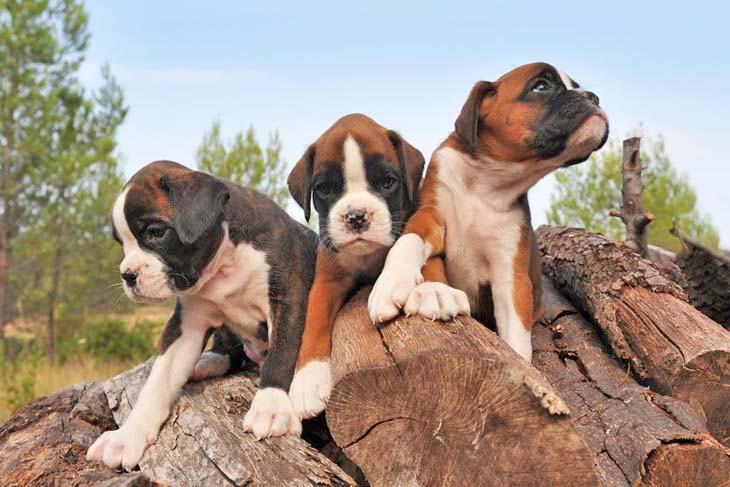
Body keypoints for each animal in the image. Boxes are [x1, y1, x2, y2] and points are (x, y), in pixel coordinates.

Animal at [86, 161, 316, 472]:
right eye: (122, 243)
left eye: (155, 232)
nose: (128, 274)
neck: (225, 260)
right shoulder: (187, 325)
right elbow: (157, 382)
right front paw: (127, 436)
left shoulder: (287, 299)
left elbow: (282, 353)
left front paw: (270, 406)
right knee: (229, 349)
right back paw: (207, 362)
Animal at [286, 113, 424, 420]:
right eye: (324, 189)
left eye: (387, 182)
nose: (357, 216)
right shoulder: (326, 281)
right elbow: (314, 322)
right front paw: (307, 380)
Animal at [366, 63, 604, 362]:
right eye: (541, 86)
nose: (594, 97)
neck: (487, 183)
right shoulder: (430, 216)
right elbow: (409, 243)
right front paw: (394, 283)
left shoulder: (510, 275)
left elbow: (516, 337)